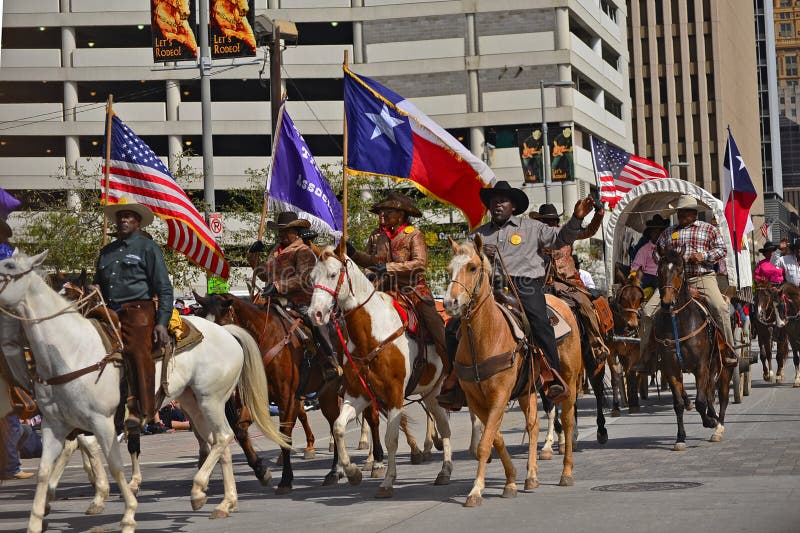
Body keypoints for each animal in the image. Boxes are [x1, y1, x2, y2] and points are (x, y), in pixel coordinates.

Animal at [0, 250, 288, 532]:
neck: (74, 349)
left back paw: (202, 490)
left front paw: (112, 499)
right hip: (193, 401)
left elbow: (110, 457)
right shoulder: (59, 423)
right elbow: (58, 462)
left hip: (211, 399)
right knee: (218, 439)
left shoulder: (102, 420)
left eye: (72, 295)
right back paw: (225, 501)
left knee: (224, 436)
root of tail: (226, 332)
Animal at [444, 235, 580, 504]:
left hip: (568, 380)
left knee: (568, 421)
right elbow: (494, 438)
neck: (483, 337)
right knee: (533, 426)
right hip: (528, 389)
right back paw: (531, 476)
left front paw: (476, 491)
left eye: (472, 267)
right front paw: (511, 481)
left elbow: (485, 443)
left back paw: (567, 472)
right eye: (448, 269)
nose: (450, 303)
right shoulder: (476, 400)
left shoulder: (500, 395)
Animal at [652, 249, 736, 448]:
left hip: (724, 367)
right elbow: (679, 404)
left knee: (722, 398)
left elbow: (700, 402)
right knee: (710, 393)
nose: (667, 302)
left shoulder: (700, 367)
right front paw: (680, 438)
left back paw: (718, 428)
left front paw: (710, 422)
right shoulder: (672, 369)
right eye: (659, 270)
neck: (678, 321)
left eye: (680, 270)